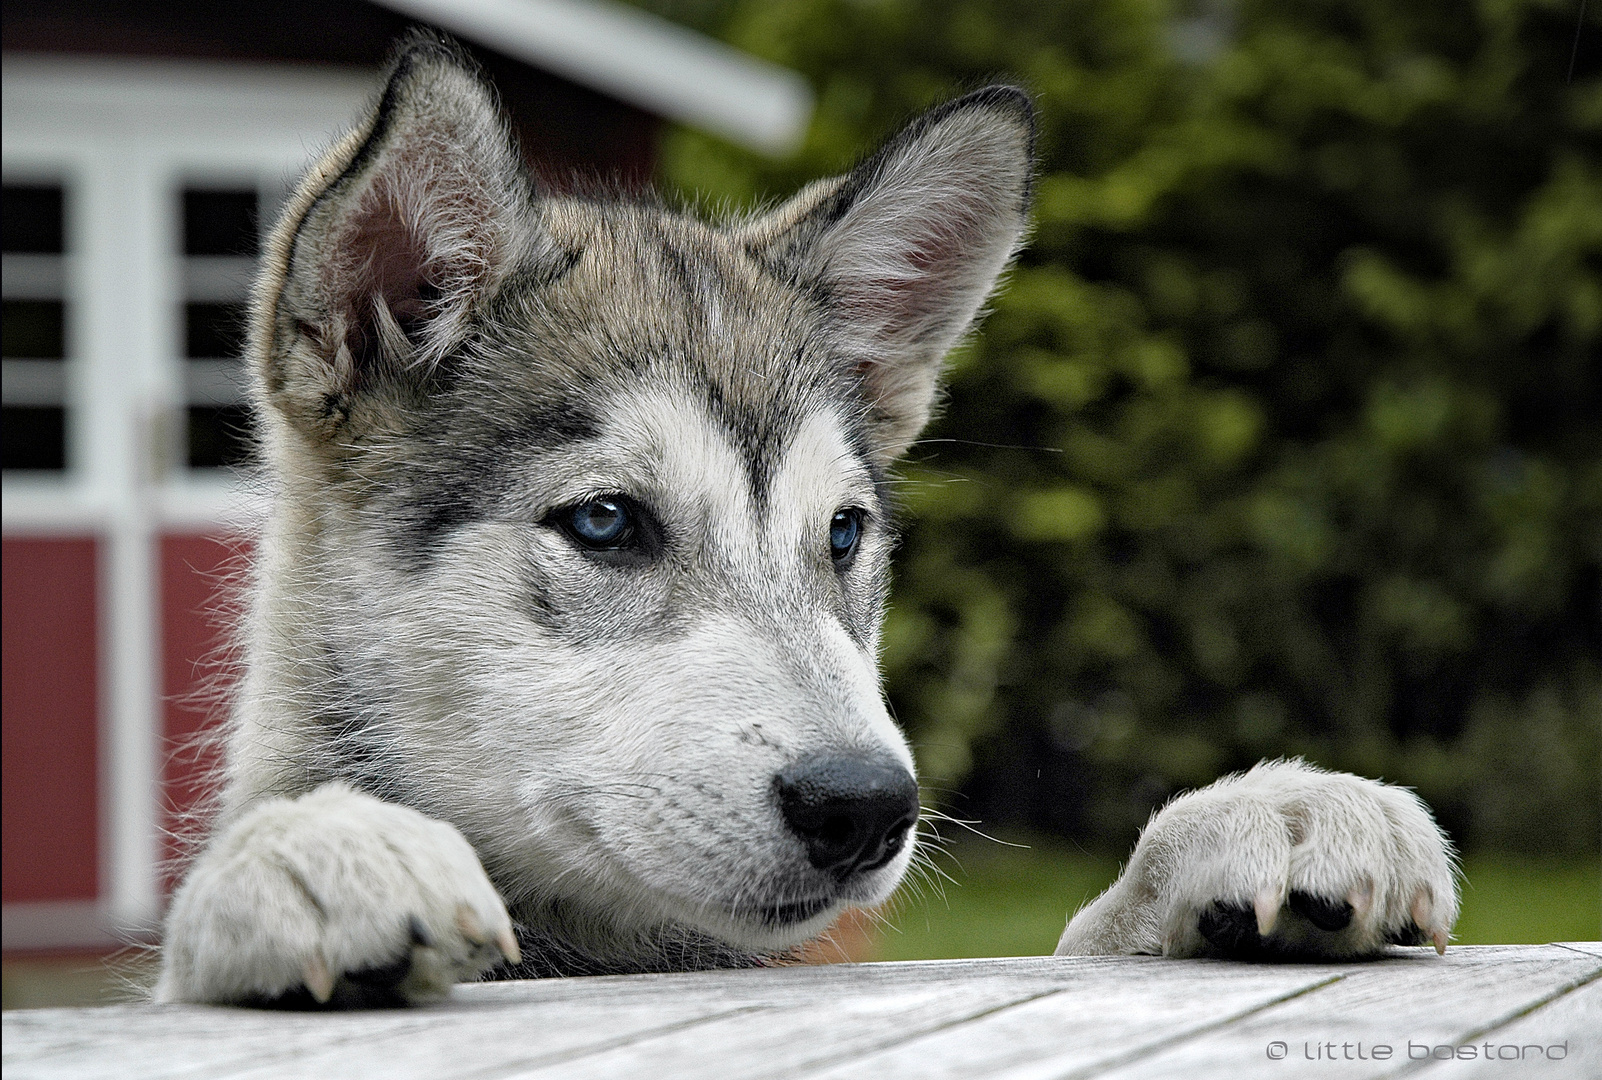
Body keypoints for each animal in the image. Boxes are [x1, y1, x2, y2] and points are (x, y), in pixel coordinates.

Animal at [156, 35, 1461, 1012]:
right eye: (606, 522)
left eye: (841, 536)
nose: (865, 806)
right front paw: (299, 853)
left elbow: (1076, 945)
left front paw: (1248, 821)